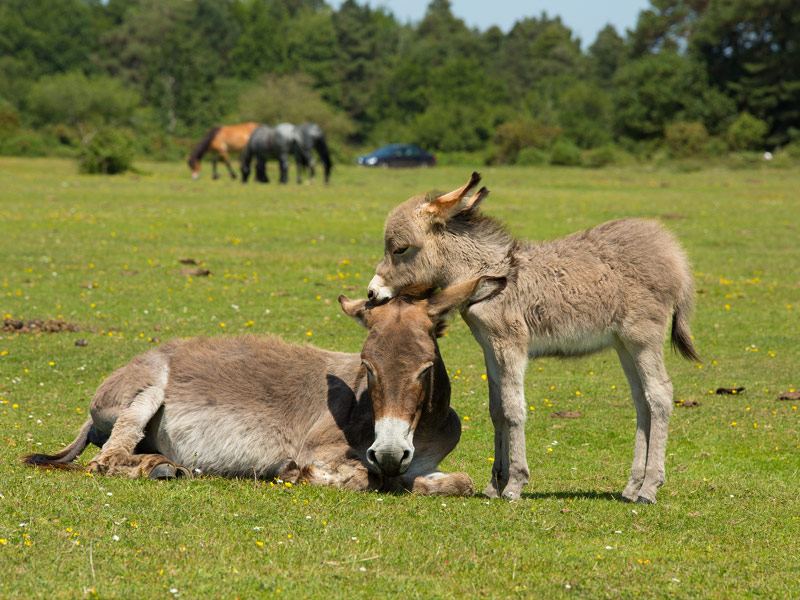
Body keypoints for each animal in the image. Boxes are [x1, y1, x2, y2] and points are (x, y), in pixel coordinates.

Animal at [368, 175, 700, 506]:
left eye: (400, 249)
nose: (372, 293)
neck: (491, 276)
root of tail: (673, 254)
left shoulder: (510, 346)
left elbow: (514, 409)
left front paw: (515, 484)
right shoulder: (489, 347)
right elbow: (497, 409)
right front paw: (495, 484)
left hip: (643, 338)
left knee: (660, 395)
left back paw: (649, 488)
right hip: (624, 344)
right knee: (642, 401)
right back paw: (632, 486)